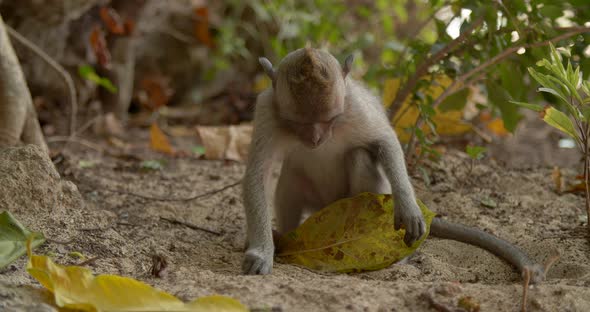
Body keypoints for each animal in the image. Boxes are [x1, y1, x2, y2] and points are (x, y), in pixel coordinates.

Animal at [243, 47, 548, 282]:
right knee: (290, 180)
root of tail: (327, 208)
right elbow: (257, 175)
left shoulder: (355, 108)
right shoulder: (267, 110)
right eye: (297, 122)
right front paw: (262, 249)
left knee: (360, 157)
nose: (316, 139)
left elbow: (385, 141)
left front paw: (408, 207)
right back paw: (285, 237)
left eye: (329, 119)